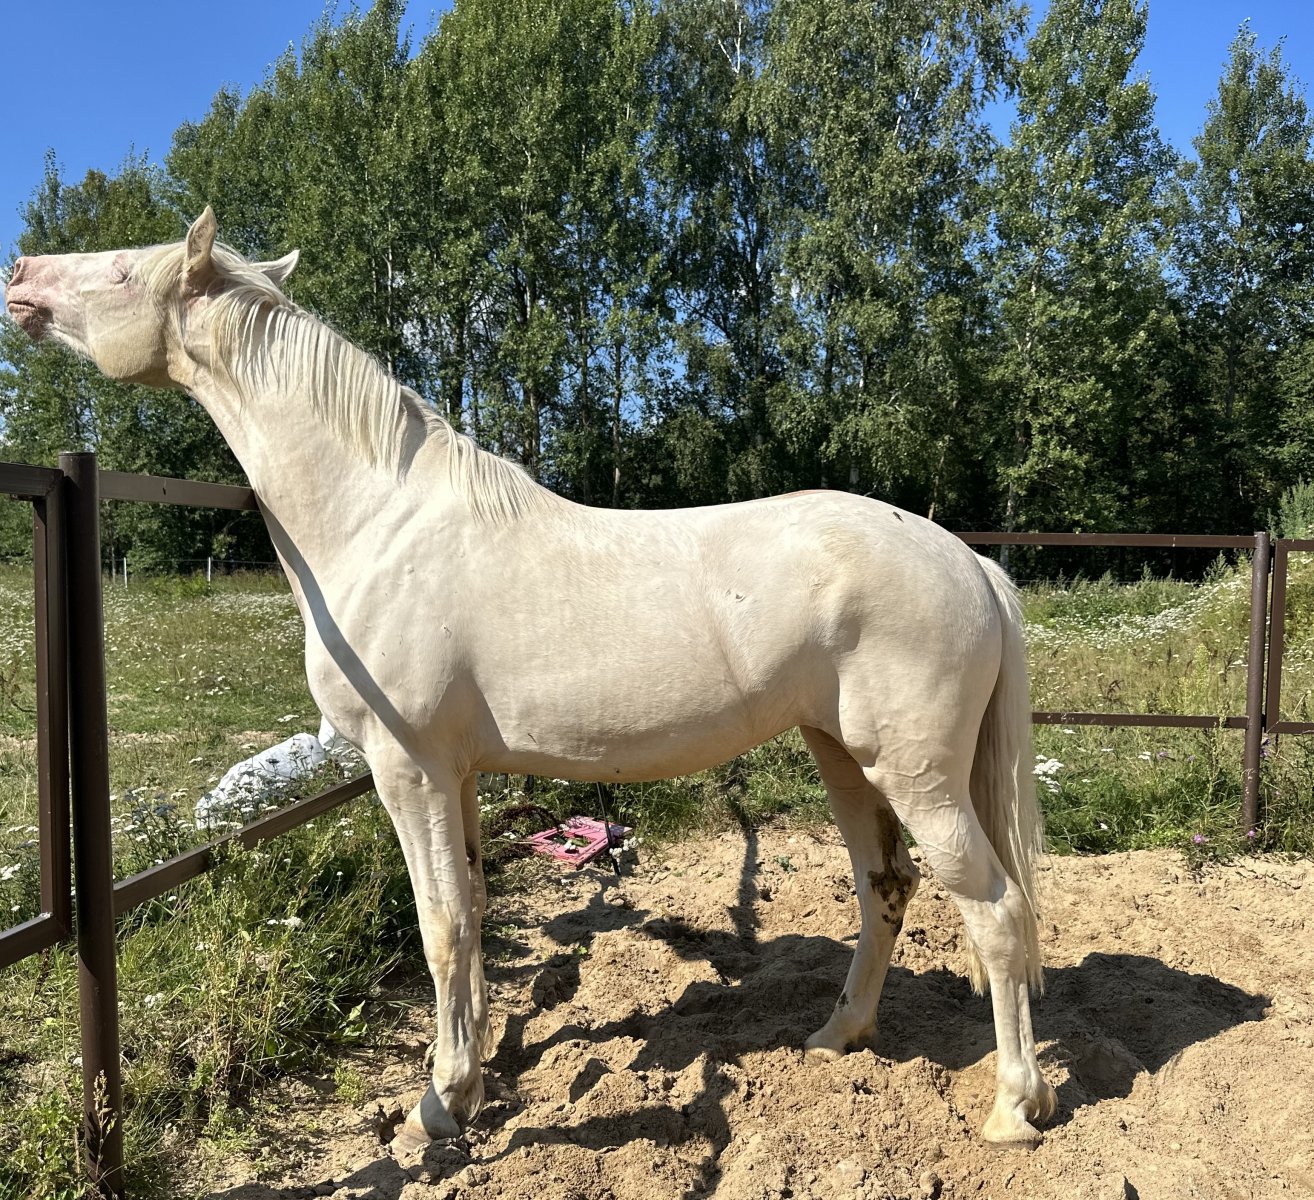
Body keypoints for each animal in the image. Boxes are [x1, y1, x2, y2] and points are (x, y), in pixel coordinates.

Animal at [4, 208, 1056, 1153]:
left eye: (121, 270)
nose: (20, 275)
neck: (380, 520)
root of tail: (969, 564)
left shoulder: (410, 770)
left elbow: (441, 926)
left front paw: (437, 1108)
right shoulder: (458, 777)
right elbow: (471, 912)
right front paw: (472, 1082)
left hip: (918, 774)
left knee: (997, 909)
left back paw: (1016, 1109)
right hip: (840, 753)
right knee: (887, 887)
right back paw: (838, 1035)